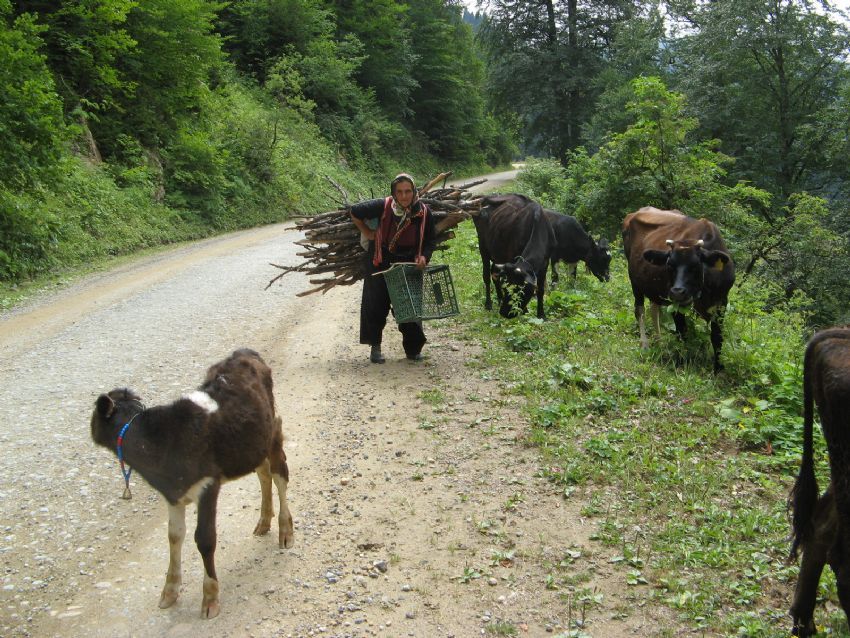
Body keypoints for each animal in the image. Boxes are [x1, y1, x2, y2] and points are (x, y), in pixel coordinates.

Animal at [90, 350, 294, 620]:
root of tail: (243, 353)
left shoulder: (208, 486)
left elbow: (205, 539)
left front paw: (210, 598)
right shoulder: (173, 494)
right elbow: (174, 536)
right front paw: (169, 591)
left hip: (273, 431)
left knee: (280, 474)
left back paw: (286, 530)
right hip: (250, 446)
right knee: (263, 473)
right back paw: (263, 522)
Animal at [620, 205, 732, 376]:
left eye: (695, 266)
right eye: (669, 265)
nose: (678, 291)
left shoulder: (721, 301)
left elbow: (717, 336)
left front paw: (718, 368)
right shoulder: (675, 303)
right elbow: (682, 332)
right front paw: (683, 361)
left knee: (654, 309)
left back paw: (659, 342)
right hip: (635, 279)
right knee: (640, 310)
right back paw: (645, 344)